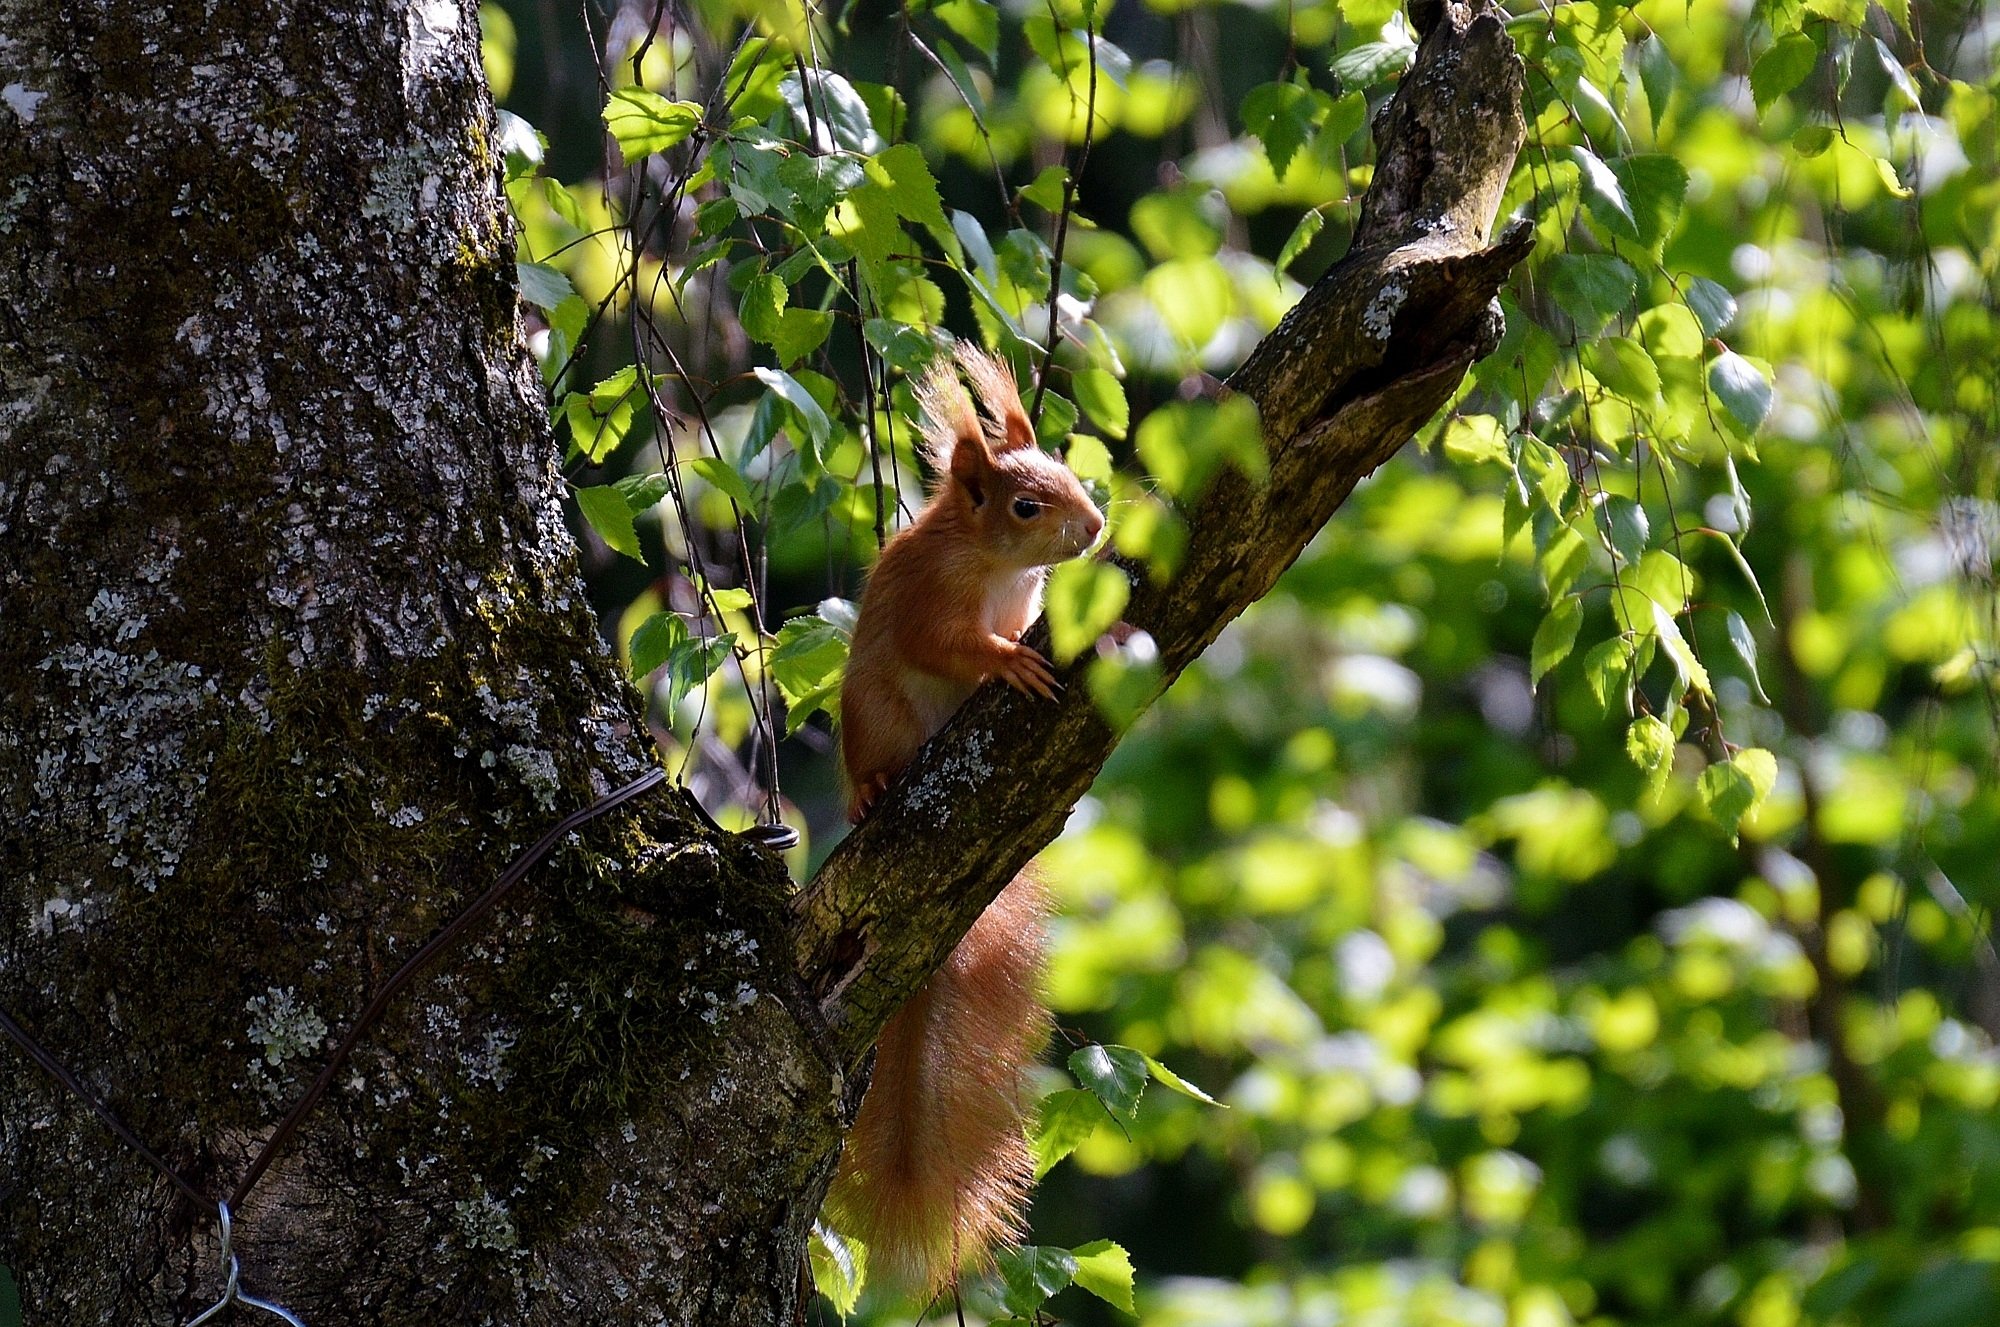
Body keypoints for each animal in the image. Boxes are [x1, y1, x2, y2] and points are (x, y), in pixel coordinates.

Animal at [828, 339, 1112, 1295]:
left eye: (1067, 469)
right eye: (1026, 504)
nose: (1096, 527)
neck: (994, 566)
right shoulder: (926, 596)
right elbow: (943, 643)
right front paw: (1004, 662)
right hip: (872, 717)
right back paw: (869, 789)